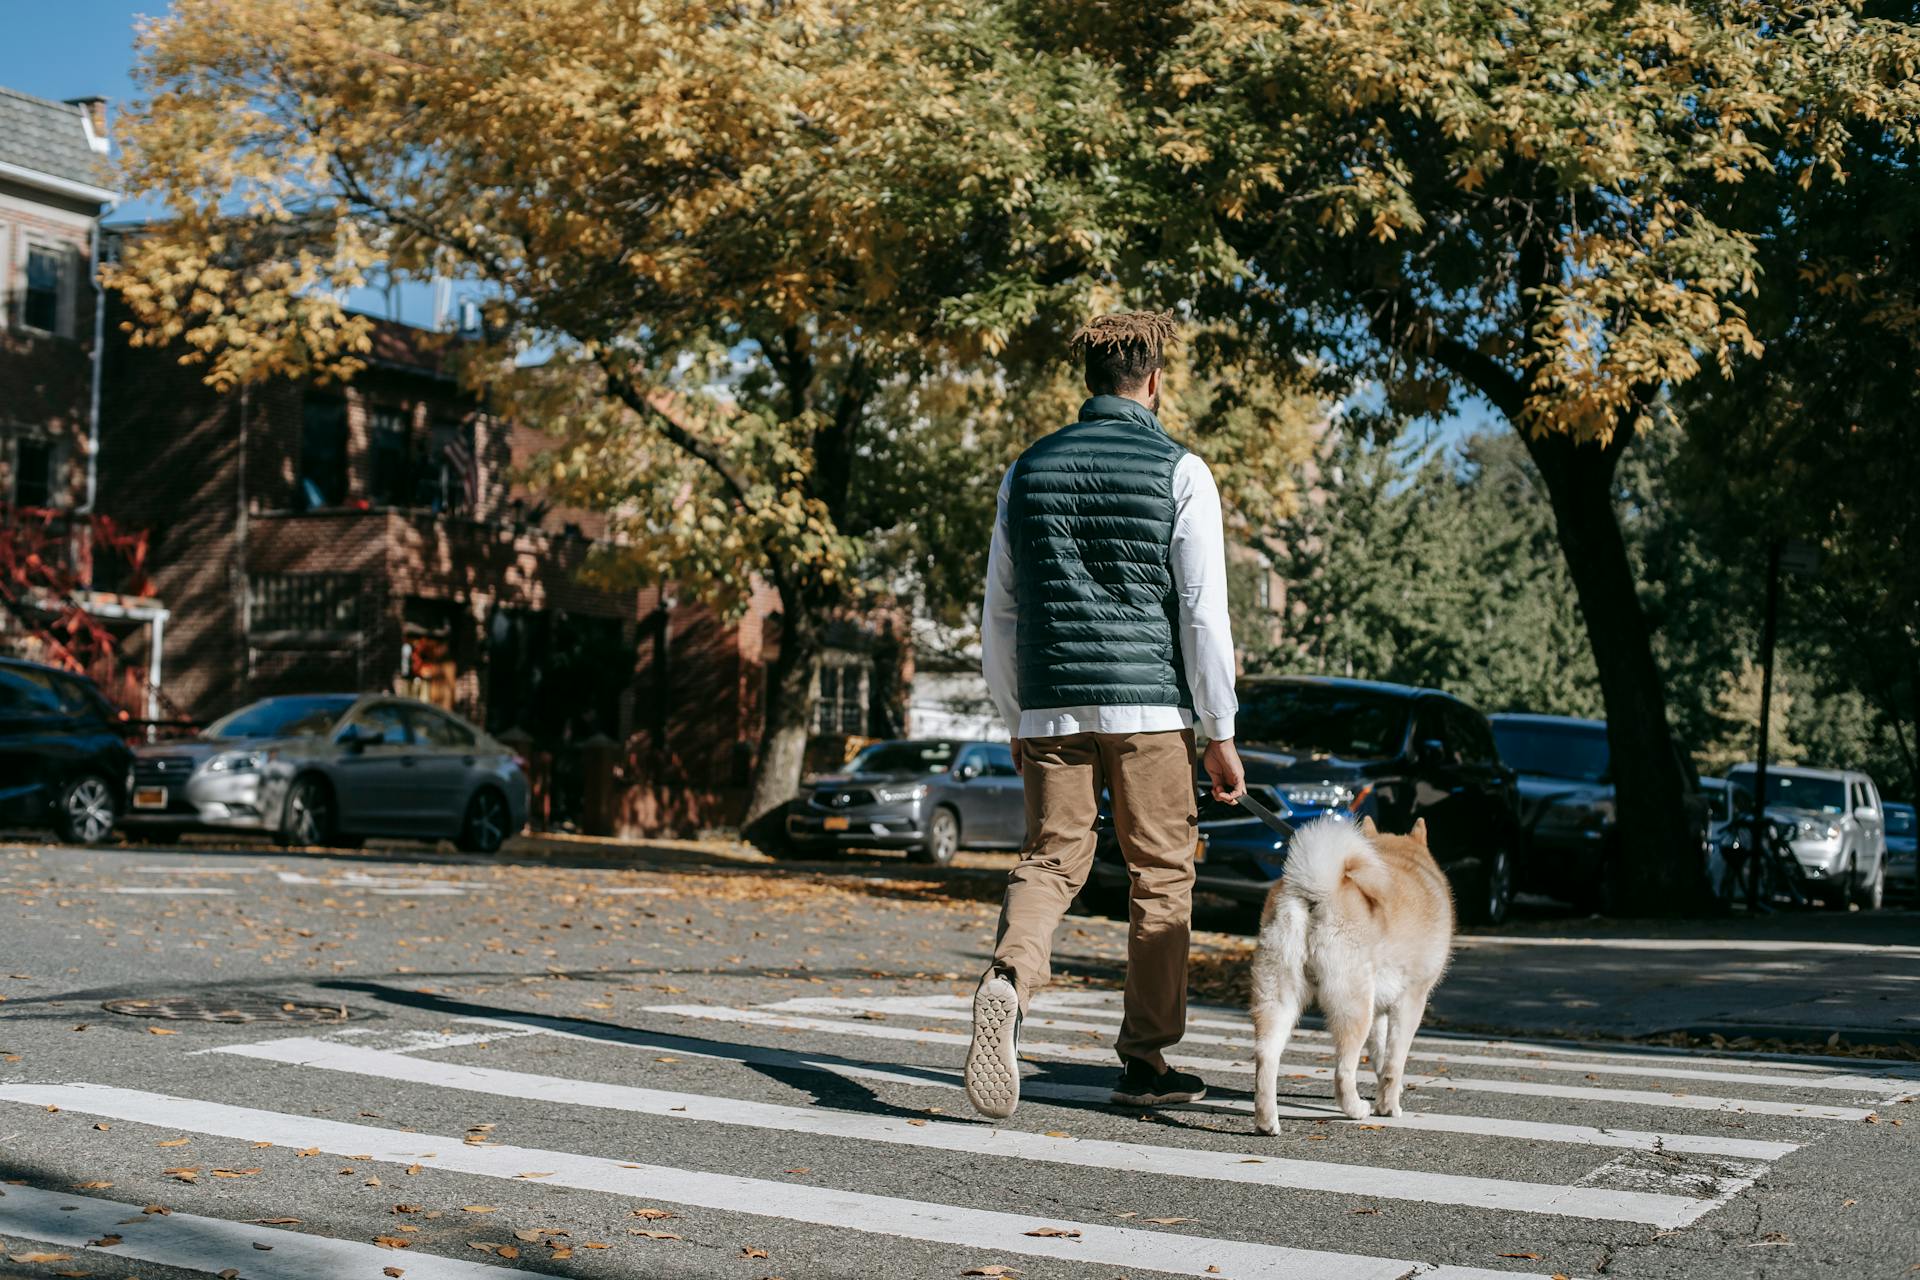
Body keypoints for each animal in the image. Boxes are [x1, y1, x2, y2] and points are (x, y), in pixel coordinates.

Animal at [1251, 821, 1443, 1128]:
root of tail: (1317, 891)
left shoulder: (1380, 1009)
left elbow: (1380, 1056)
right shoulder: (1411, 1001)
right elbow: (1393, 1063)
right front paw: (1388, 1106)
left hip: (1277, 999)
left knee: (1265, 1057)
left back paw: (1267, 1122)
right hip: (1353, 1007)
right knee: (1343, 1071)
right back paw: (1356, 1109)